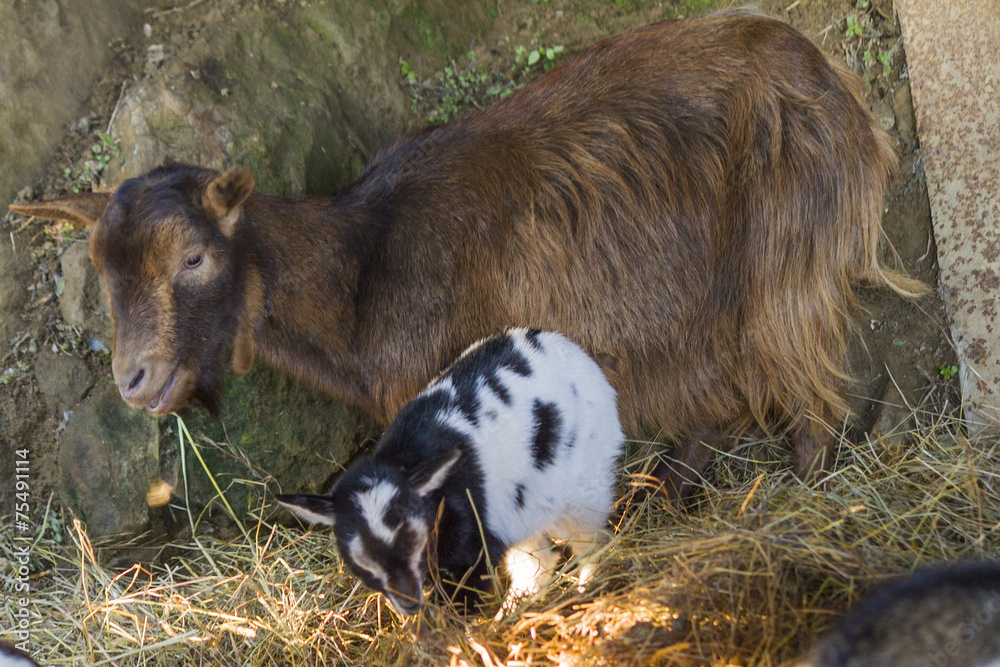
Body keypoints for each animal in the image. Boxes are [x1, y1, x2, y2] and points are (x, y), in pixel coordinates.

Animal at [9, 13, 926, 496]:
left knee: (807, 385)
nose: (135, 378)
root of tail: (842, 93)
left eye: (195, 258)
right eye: (102, 274)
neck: (360, 266)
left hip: (784, 256)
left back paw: (802, 494)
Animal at [277, 328, 623, 615]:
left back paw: (588, 587)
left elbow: (462, 599)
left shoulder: (468, 552)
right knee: (539, 561)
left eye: (413, 539)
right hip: (524, 510)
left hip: (585, 492)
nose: (408, 602)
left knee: (594, 542)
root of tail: (575, 353)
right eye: (359, 562)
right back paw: (513, 608)